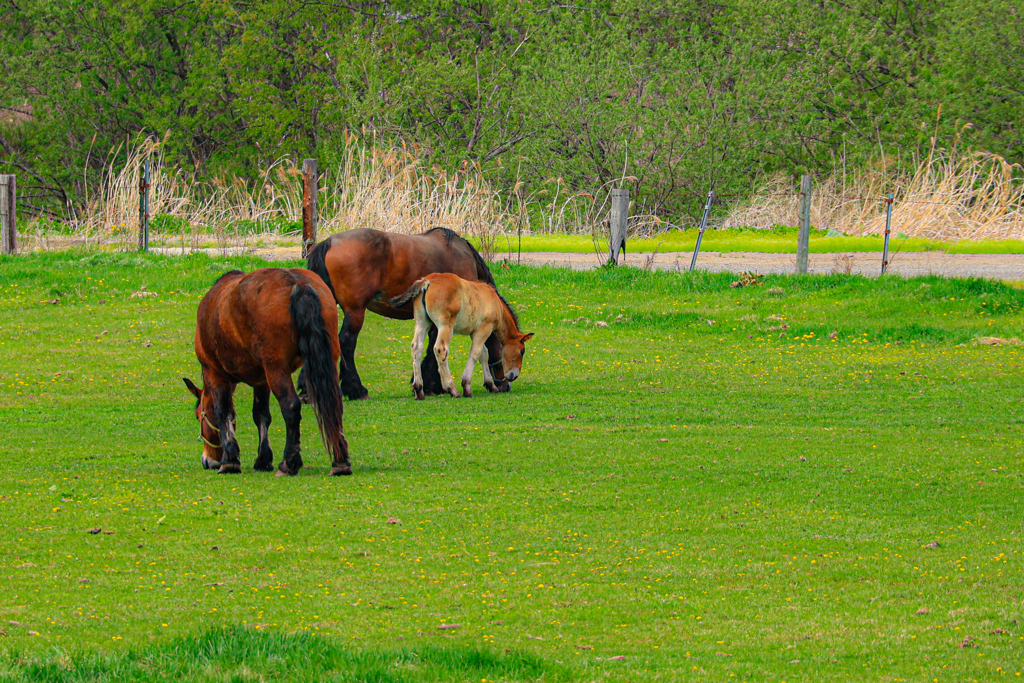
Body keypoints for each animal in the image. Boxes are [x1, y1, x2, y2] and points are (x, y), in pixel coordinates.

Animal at [178, 266, 350, 475]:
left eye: (198, 416)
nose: (207, 460)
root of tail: (297, 283)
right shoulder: (261, 381)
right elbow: (261, 416)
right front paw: (263, 459)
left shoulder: (214, 373)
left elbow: (223, 412)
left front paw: (230, 460)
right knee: (334, 403)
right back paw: (340, 462)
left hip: (276, 369)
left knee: (291, 406)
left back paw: (289, 463)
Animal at [303, 228, 512, 401]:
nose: (506, 384)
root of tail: (329, 242)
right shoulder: (444, 321)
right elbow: (434, 350)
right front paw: (432, 385)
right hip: (355, 312)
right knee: (346, 343)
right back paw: (357, 390)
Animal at [389, 274, 536, 401]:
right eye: (522, 351)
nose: (514, 376)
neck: (494, 301)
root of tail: (428, 280)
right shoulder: (484, 329)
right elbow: (476, 354)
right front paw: (466, 387)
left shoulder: (475, 332)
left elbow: (484, 354)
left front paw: (490, 385)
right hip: (445, 326)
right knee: (441, 349)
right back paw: (452, 389)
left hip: (422, 322)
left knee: (416, 348)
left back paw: (419, 390)